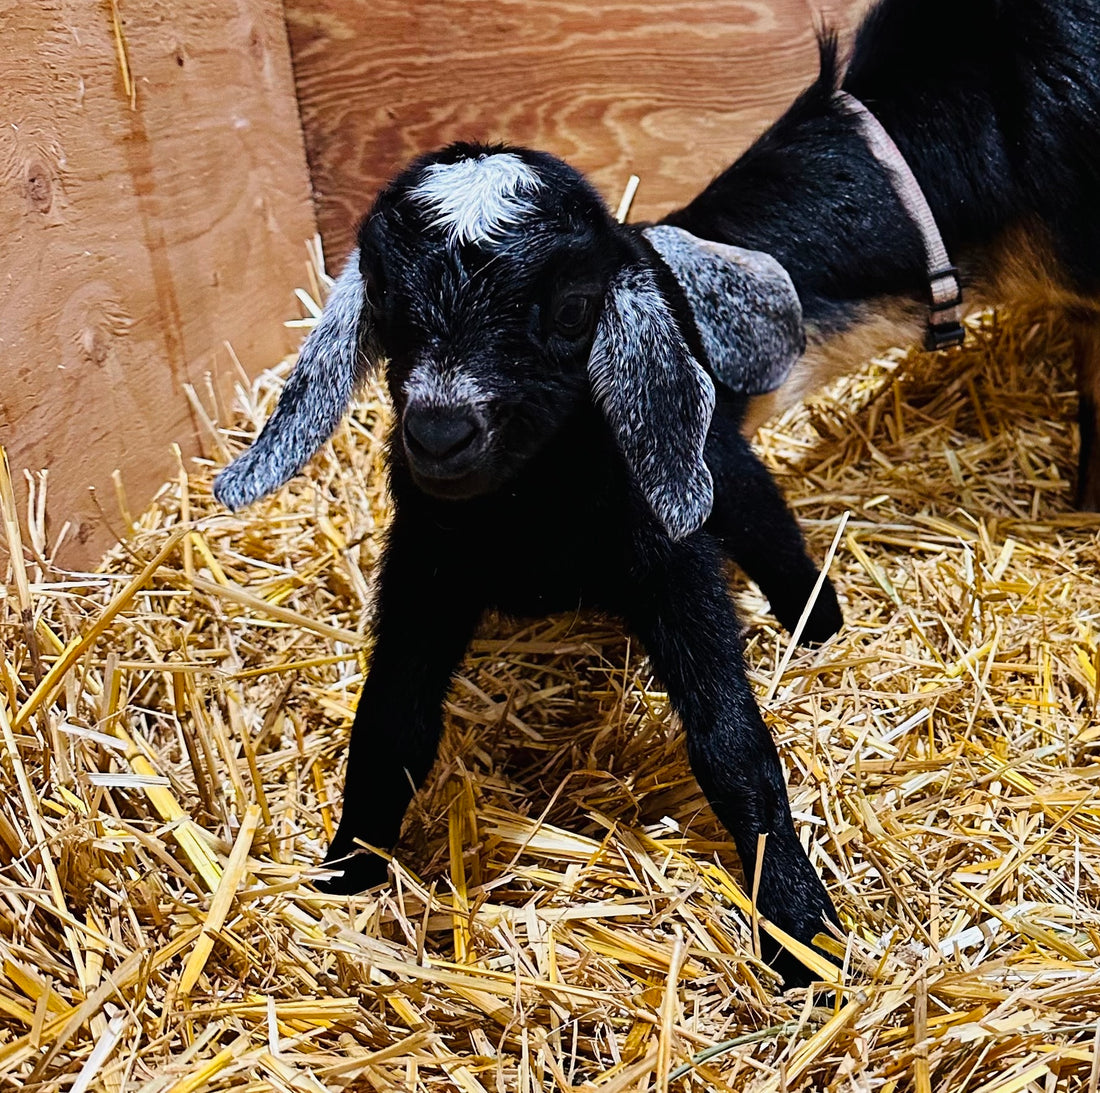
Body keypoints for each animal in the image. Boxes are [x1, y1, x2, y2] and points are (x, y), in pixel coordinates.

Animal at [218, 149, 844, 985]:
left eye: (575, 310)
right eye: (383, 298)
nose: (440, 432)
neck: (530, 512)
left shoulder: (670, 560)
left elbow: (733, 745)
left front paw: (801, 929)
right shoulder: (425, 565)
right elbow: (389, 722)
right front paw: (347, 868)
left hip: (708, 452)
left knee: (757, 508)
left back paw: (816, 618)